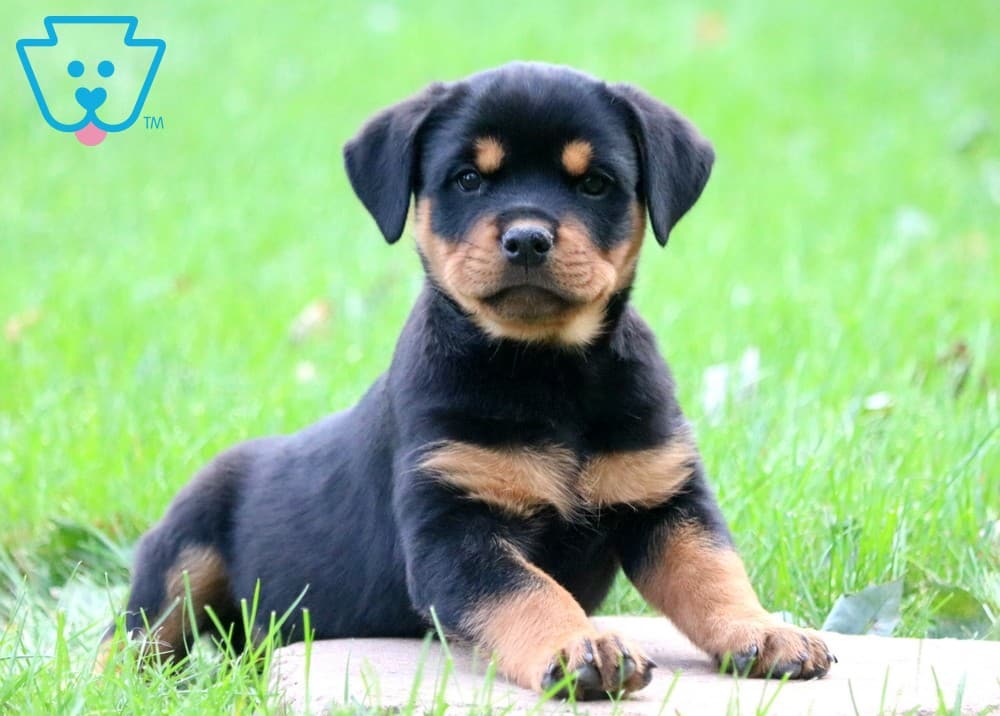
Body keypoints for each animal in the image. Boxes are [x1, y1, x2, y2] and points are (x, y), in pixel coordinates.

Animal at [105, 63, 832, 700]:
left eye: (596, 184)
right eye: (467, 179)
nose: (528, 239)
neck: (547, 370)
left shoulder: (665, 498)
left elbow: (712, 571)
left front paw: (766, 632)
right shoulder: (453, 529)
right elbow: (527, 591)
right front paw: (580, 646)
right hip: (182, 547)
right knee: (136, 633)